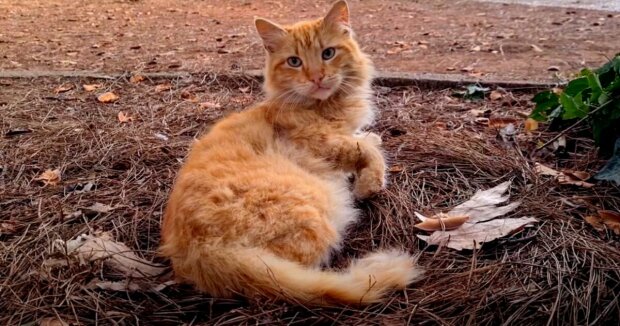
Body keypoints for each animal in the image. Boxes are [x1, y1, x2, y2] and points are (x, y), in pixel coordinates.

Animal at [160, 1, 424, 304]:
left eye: (328, 53)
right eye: (294, 62)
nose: (317, 77)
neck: (321, 106)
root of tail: (201, 252)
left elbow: (365, 140)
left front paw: (370, 138)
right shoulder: (320, 141)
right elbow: (368, 151)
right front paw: (369, 184)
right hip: (315, 209)